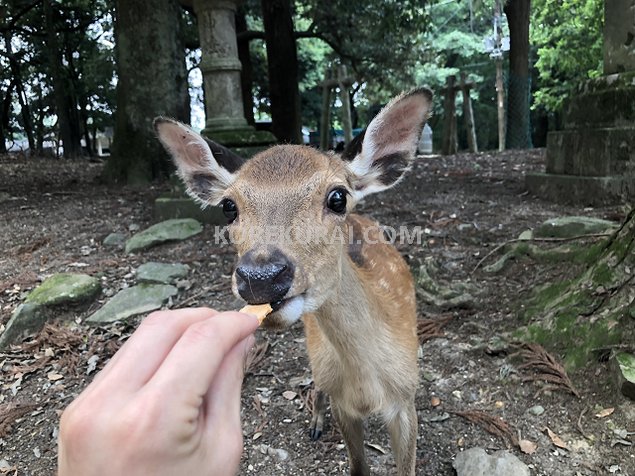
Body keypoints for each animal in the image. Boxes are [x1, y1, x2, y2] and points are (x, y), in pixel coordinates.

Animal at [154, 89, 432, 476]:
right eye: (228, 207)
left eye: (337, 197)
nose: (261, 277)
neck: (367, 387)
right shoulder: (343, 403)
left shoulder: (406, 400)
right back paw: (315, 422)